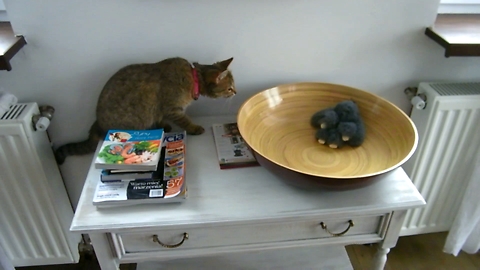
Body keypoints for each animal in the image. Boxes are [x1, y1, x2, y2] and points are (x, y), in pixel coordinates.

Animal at [55, 57, 235, 165]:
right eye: (230, 88)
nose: (236, 92)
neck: (194, 78)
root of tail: (97, 125)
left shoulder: (161, 110)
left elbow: (161, 117)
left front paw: (163, 125)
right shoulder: (173, 109)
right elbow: (184, 120)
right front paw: (194, 128)